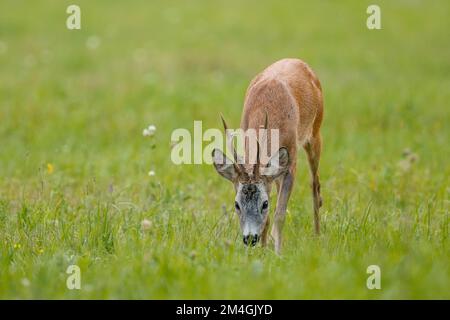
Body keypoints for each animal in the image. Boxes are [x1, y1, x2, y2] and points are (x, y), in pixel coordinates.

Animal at [212, 58, 324, 255]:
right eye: (236, 205)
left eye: (264, 204)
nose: (250, 239)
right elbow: (270, 216)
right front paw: (263, 250)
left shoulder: (291, 161)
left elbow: (279, 213)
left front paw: (278, 252)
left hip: (315, 132)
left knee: (315, 184)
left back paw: (317, 235)